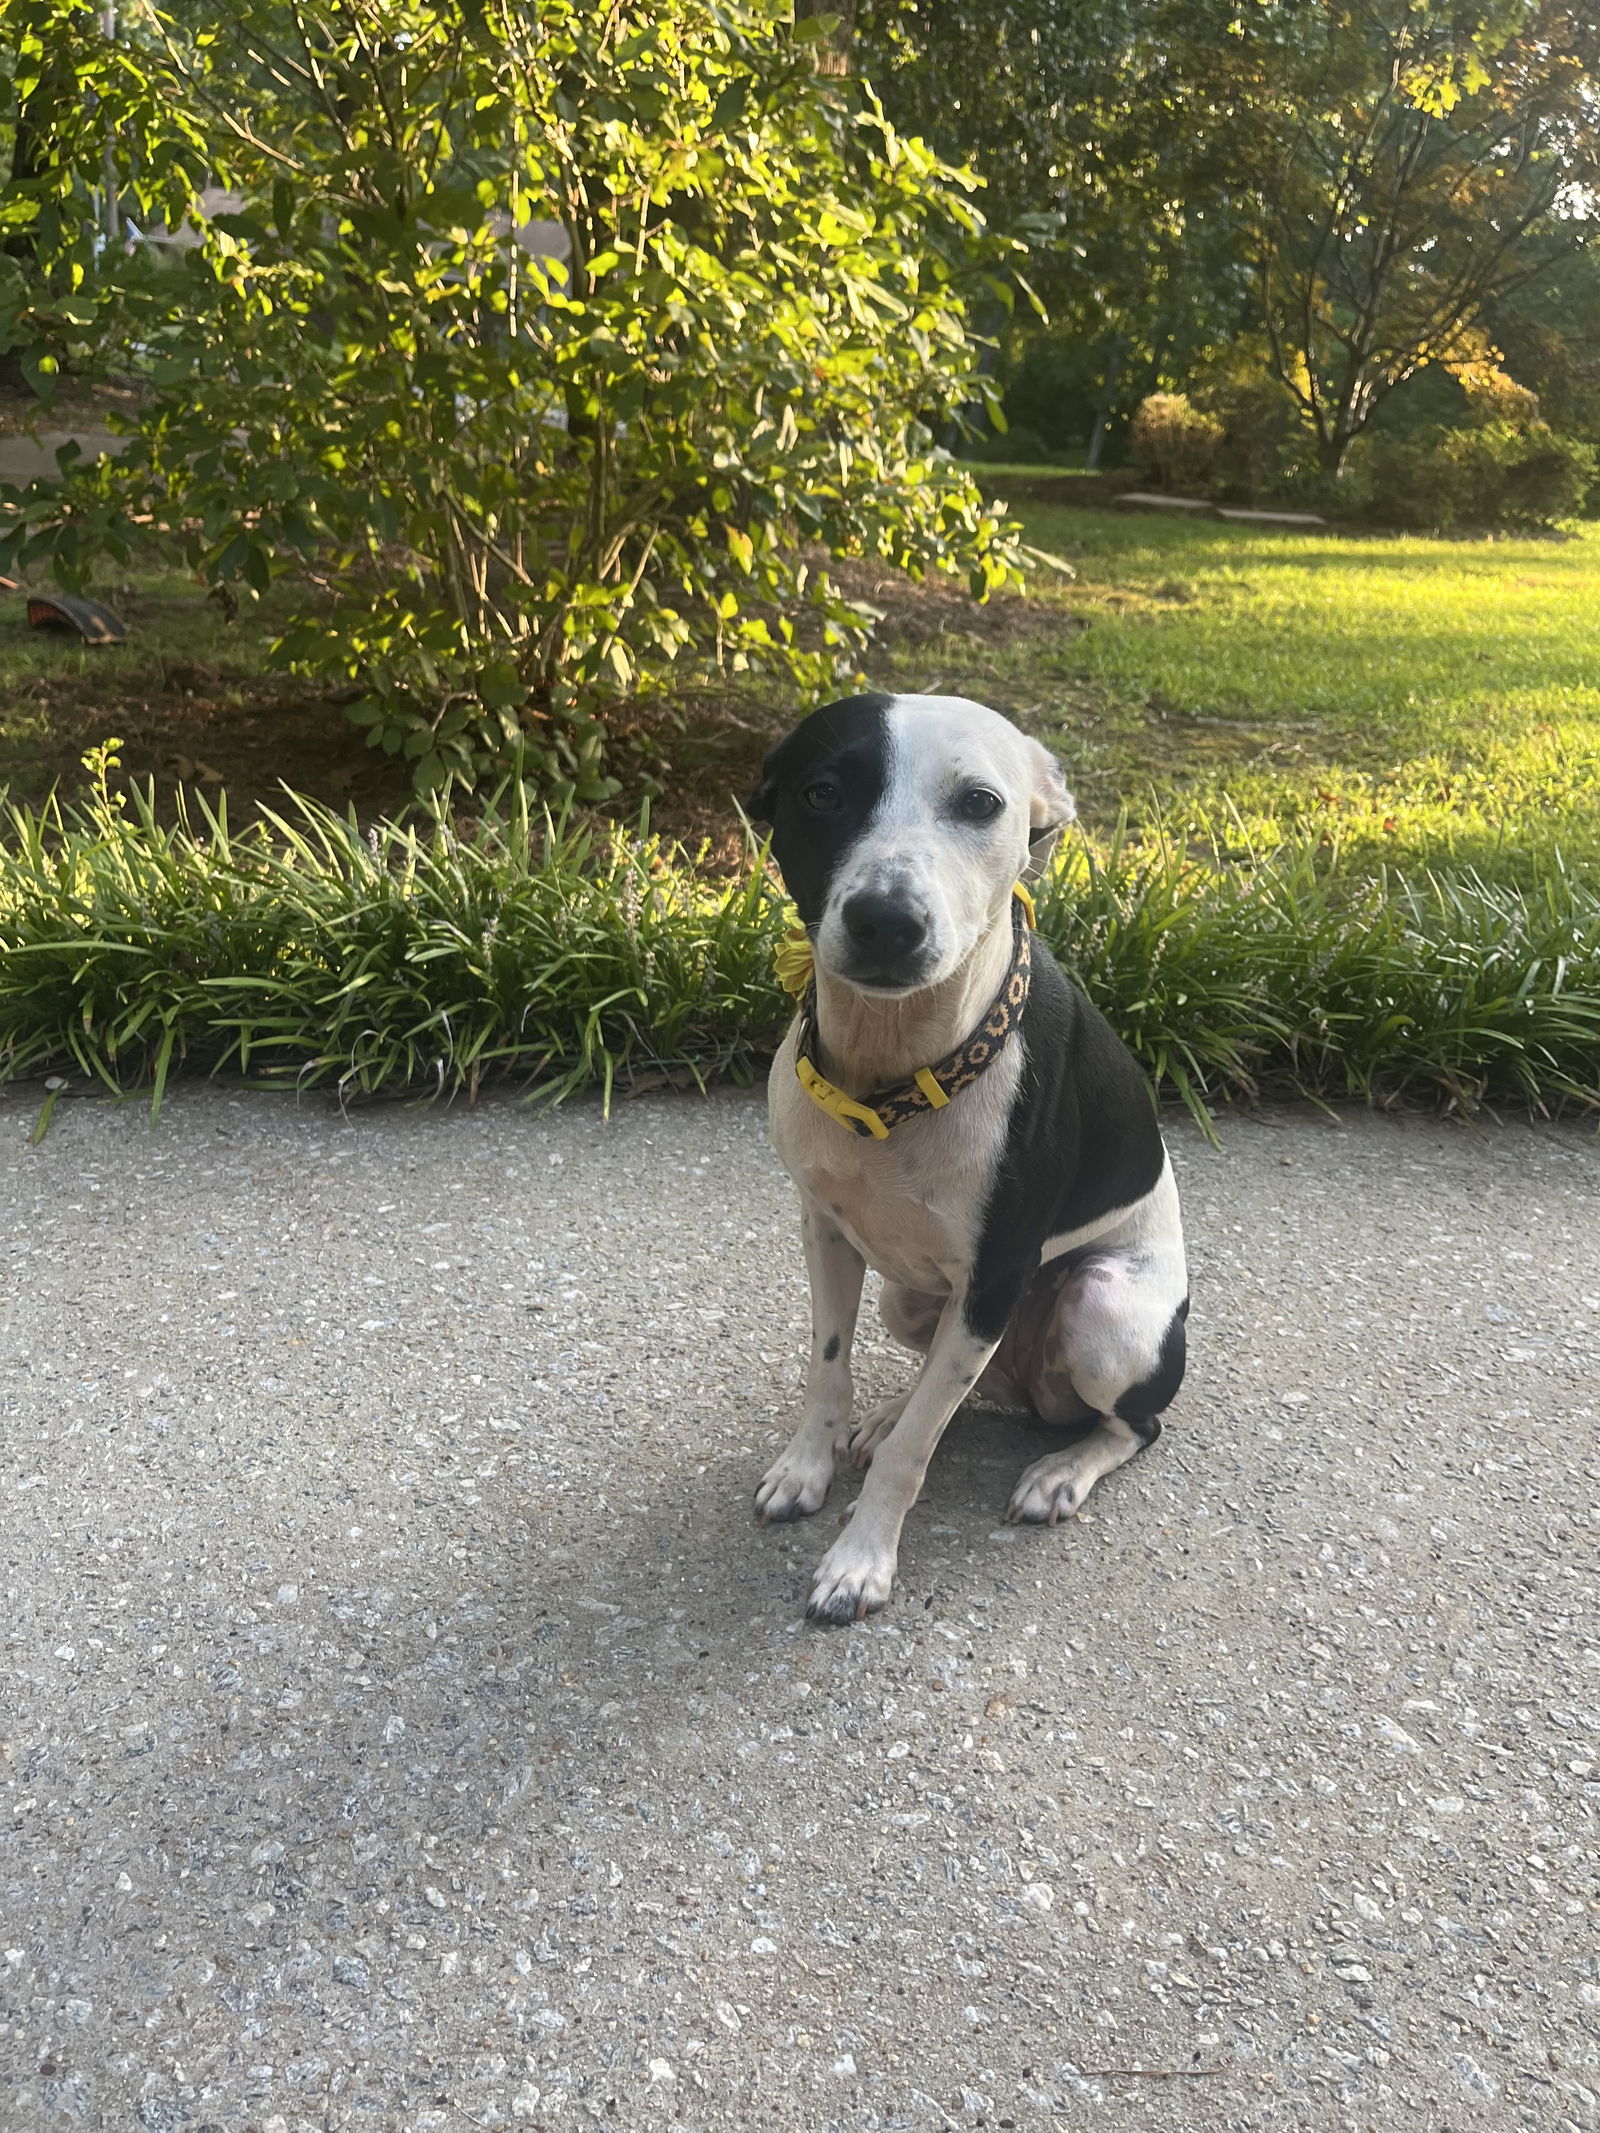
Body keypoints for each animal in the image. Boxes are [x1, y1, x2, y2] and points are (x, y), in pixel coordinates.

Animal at [750, 691, 1194, 1621]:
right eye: (821, 792)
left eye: (981, 803)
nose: (887, 920)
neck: (892, 1073)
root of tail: (1033, 1386)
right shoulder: (825, 1232)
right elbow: (829, 1367)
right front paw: (811, 1461)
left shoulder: (993, 1280)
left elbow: (917, 1451)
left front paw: (861, 1559)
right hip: (912, 1302)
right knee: (954, 1388)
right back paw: (893, 1411)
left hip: (1100, 1310)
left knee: (1134, 1423)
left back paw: (1062, 1472)